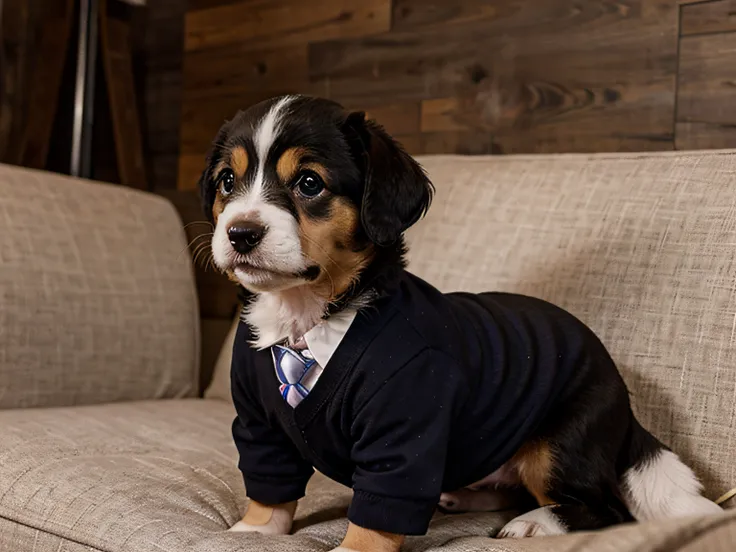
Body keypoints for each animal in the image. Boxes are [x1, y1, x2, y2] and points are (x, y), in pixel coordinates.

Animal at [198, 95, 720, 548]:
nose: (240, 233)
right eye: (227, 182)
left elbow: (378, 515)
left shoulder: (404, 435)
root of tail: (622, 395)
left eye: (309, 183)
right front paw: (254, 531)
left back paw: (534, 523)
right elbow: (269, 488)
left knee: (604, 509)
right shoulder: (260, 426)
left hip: (560, 444)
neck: (308, 318)